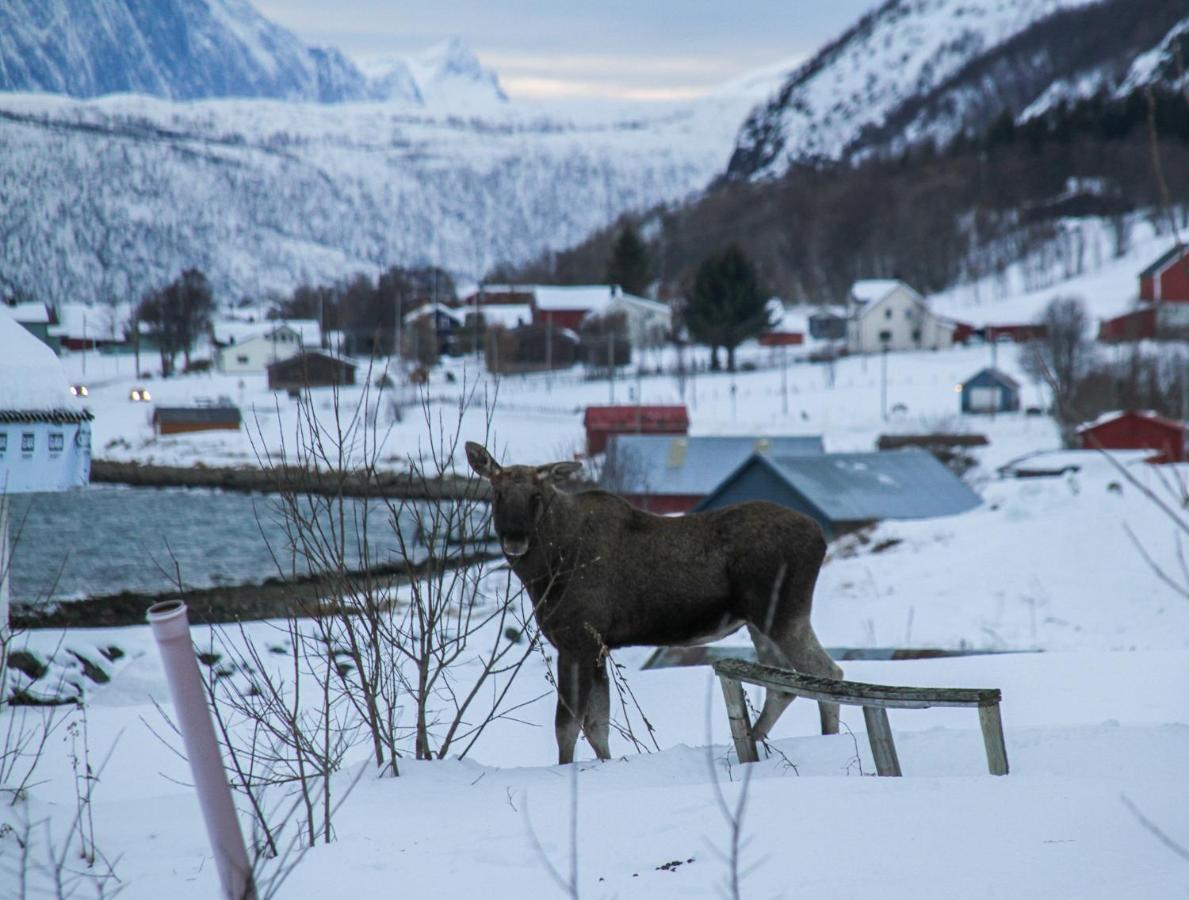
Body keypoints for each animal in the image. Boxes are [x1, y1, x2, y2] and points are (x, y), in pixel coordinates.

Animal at [458, 439, 841, 760]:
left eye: (536, 495)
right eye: (496, 494)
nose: (515, 538)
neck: (546, 569)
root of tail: (821, 537)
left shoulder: (577, 639)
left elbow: (567, 727)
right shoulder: (597, 646)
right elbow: (597, 727)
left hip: (784, 613)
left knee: (826, 672)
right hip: (759, 620)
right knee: (784, 686)